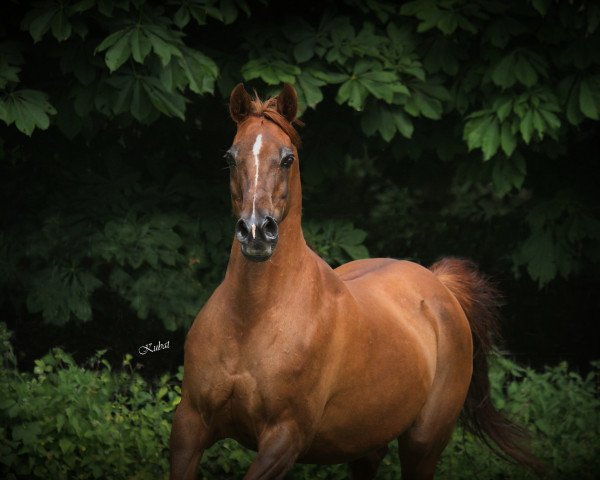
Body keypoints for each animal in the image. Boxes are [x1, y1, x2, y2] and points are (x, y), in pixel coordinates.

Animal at [170, 84, 540, 478]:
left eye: (288, 158)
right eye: (230, 157)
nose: (256, 231)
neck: (251, 319)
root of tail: (440, 284)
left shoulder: (284, 437)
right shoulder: (189, 424)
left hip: (423, 444)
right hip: (364, 445)